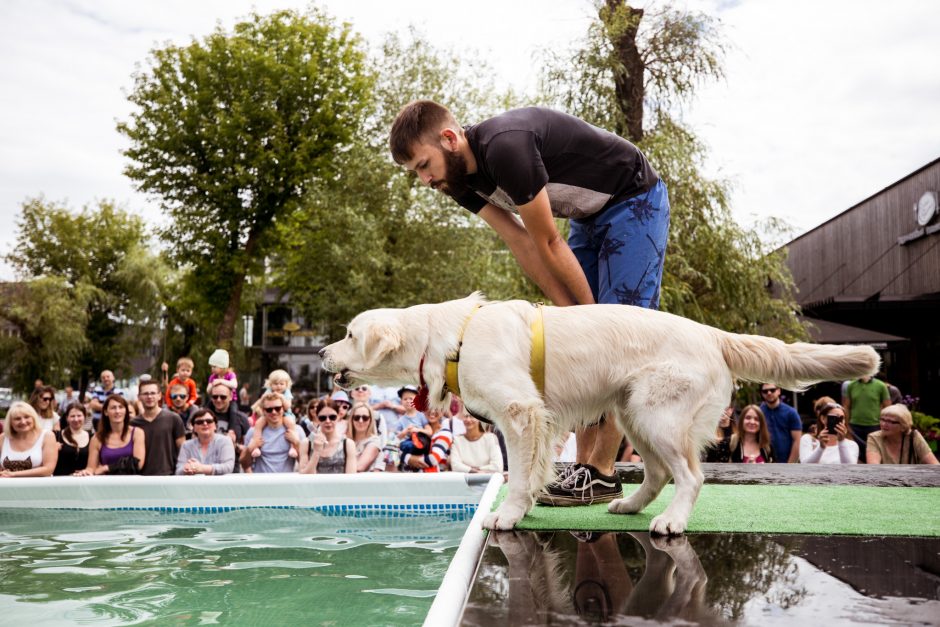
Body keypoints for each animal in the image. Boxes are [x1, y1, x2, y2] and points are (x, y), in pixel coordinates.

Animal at [324, 294, 880, 536]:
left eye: (350, 334)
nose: (325, 354)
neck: (452, 336)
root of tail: (711, 333)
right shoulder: (538, 420)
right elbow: (531, 471)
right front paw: (527, 507)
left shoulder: (521, 412)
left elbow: (519, 475)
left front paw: (508, 515)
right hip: (634, 411)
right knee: (656, 475)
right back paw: (630, 506)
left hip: (657, 415)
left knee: (691, 476)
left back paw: (672, 522)